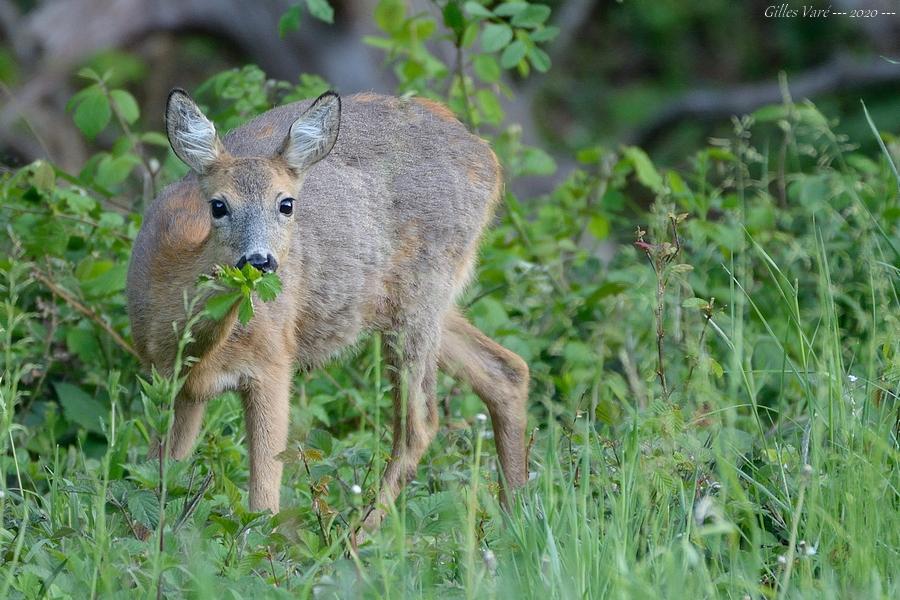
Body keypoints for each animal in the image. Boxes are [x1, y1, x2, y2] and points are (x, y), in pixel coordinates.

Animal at [130, 89, 532, 528]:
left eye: (286, 204)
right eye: (218, 205)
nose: (260, 260)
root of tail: (486, 155)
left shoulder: (273, 363)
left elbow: (264, 500)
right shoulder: (171, 381)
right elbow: (156, 480)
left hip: (422, 290)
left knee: (419, 424)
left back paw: (359, 536)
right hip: (418, 304)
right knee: (507, 370)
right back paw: (514, 519)